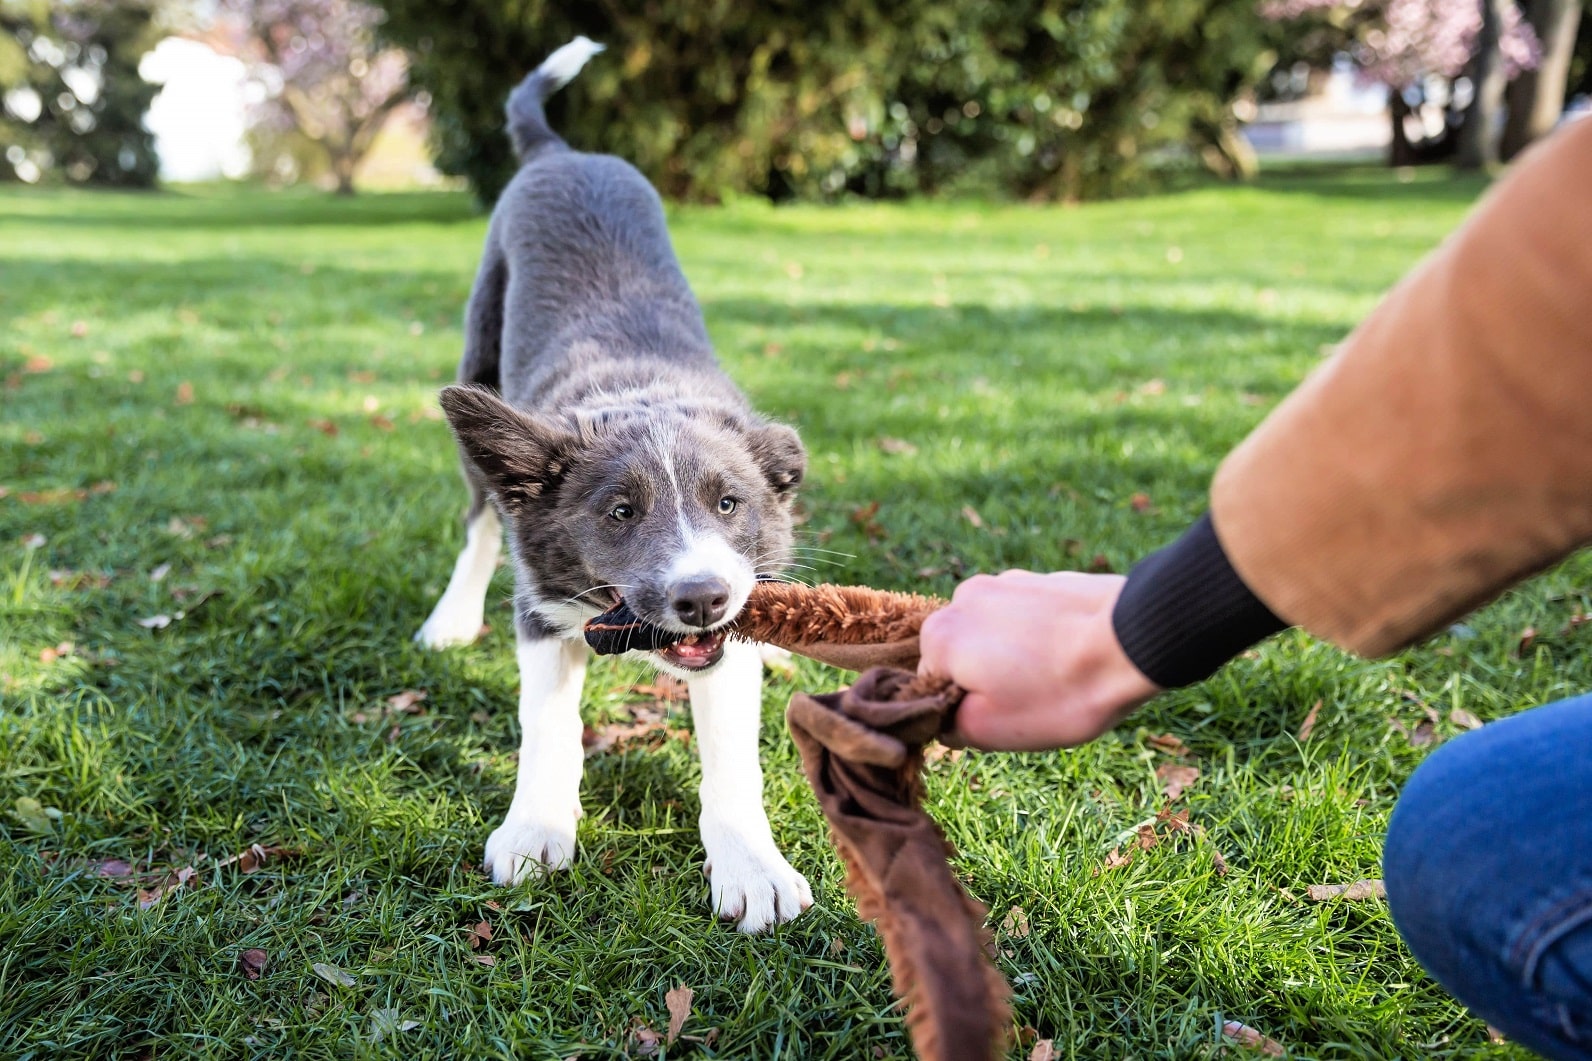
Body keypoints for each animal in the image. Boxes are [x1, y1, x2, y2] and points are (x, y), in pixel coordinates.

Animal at [413, 37, 808, 930]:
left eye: (728, 503)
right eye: (620, 512)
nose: (701, 597)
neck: (638, 388)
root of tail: (560, 152)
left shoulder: (726, 641)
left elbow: (733, 755)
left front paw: (752, 866)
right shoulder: (541, 604)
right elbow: (547, 724)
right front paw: (535, 831)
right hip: (480, 357)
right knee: (479, 516)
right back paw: (451, 617)